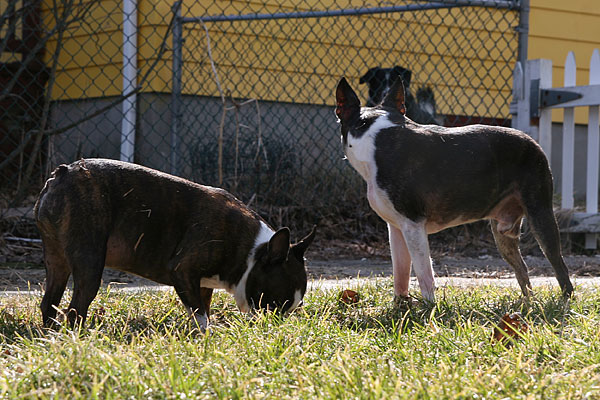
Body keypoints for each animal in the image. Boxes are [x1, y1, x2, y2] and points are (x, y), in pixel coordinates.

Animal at [336, 75, 576, 302]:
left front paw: (429, 309)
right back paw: (527, 304)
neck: (375, 134)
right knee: (522, 270)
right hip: (502, 233)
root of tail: (533, 142)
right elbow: (400, 274)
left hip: (540, 215)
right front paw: (400, 307)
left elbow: (424, 274)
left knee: (560, 267)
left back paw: (562, 302)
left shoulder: (413, 226)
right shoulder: (396, 228)